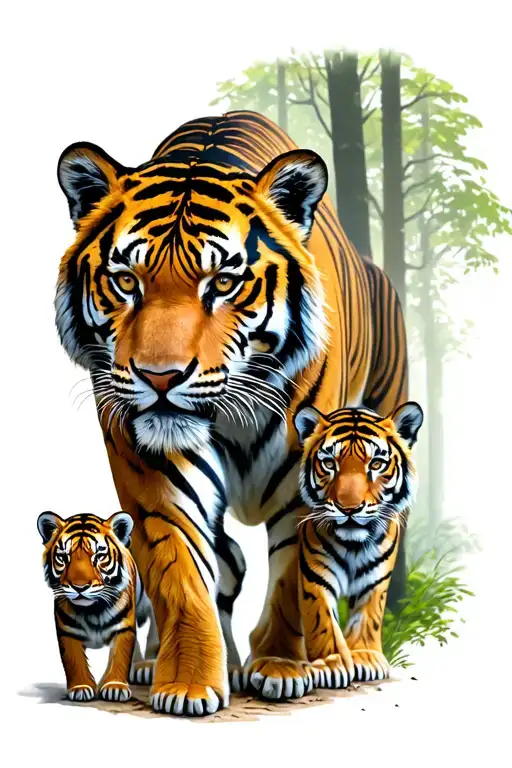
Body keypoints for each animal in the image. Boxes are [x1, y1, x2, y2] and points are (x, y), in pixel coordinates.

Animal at [37, 511, 158, 701]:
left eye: (99, 556)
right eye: (63, 557)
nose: (79, 587)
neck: (92, 610)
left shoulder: (123, 627)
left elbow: (120, 656)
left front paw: (115, 687)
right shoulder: (67, 630)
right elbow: (73, 661)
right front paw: (81, 688)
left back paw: (146, 667)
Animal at [54, 110, 408, 715]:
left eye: (222, 282)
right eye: (126, 281)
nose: (160, 378)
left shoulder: (305, 477)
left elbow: (291, 576)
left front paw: (281, 667)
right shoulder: (154, 466)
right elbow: (180, 571)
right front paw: (189, 682)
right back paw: (156, 662)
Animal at [293, 401, 423, 687]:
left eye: (376, 464)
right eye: (329, 463)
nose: (349, 508)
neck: (354, 545)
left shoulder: (376, 580)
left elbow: (368, 616)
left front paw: (365, 656)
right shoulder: (315, 576)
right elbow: (323, 620)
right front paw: (331, 663)